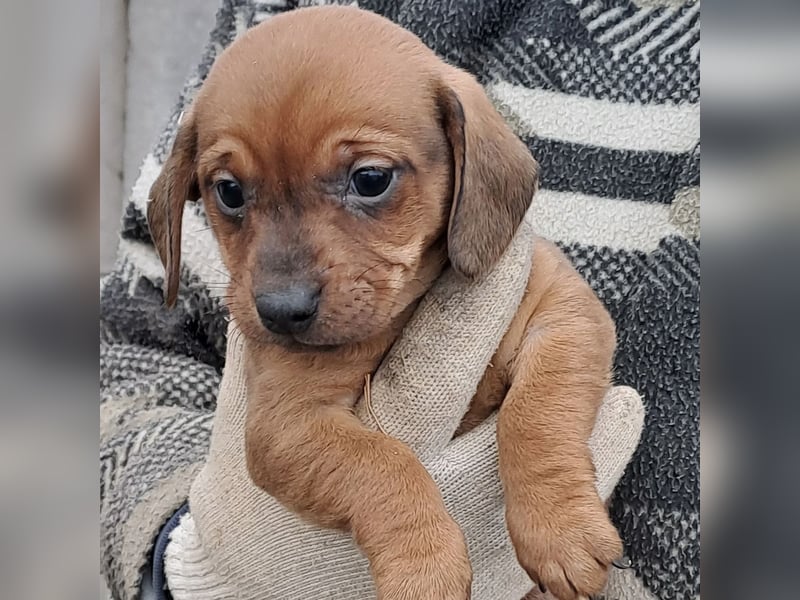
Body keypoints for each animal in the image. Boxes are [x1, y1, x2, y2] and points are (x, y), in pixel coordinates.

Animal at [147, 6, 621, 599]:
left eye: (370, 179)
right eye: (229, 191)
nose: (280, 313)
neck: (401, 312)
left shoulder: (564, 313)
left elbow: (534, 415)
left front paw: (559, 527)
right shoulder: (286, 426)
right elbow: (383, 463)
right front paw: (423, 563)